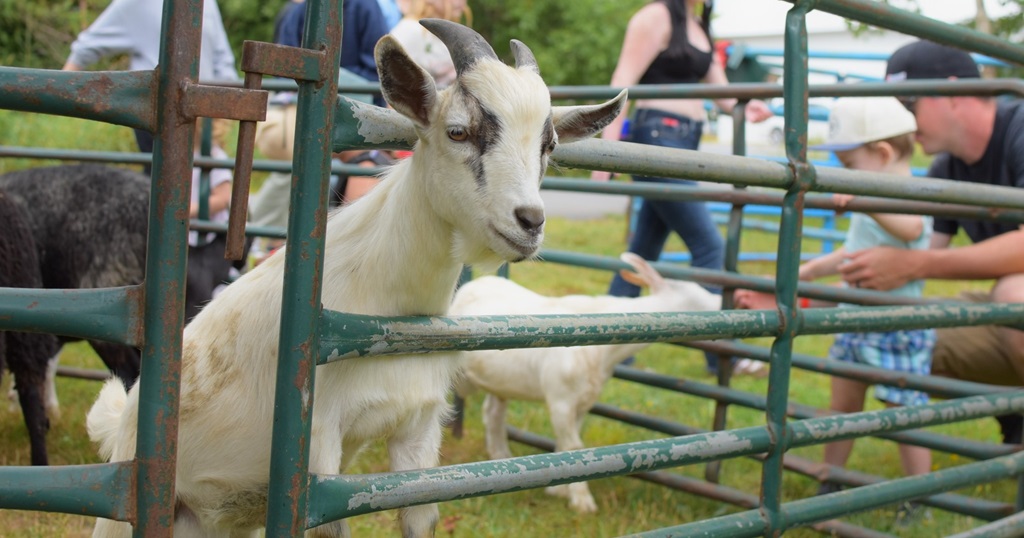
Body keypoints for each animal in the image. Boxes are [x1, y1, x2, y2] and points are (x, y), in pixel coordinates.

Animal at [86, 19, 626, 538]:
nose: (530, 222)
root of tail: (124, 428)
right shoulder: (317, 445)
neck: (389, 303)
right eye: (457, 132)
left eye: (549, 145)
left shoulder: (418, 431)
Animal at [448, 253, 722, 513]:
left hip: (502, 381)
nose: (723, 303)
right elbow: (574, 446)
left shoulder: (582, 402)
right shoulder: (560, 399)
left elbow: (568, 448)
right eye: (697, 298)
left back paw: (501, 457)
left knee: (493, 413)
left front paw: (559, 490)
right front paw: (582, 501)